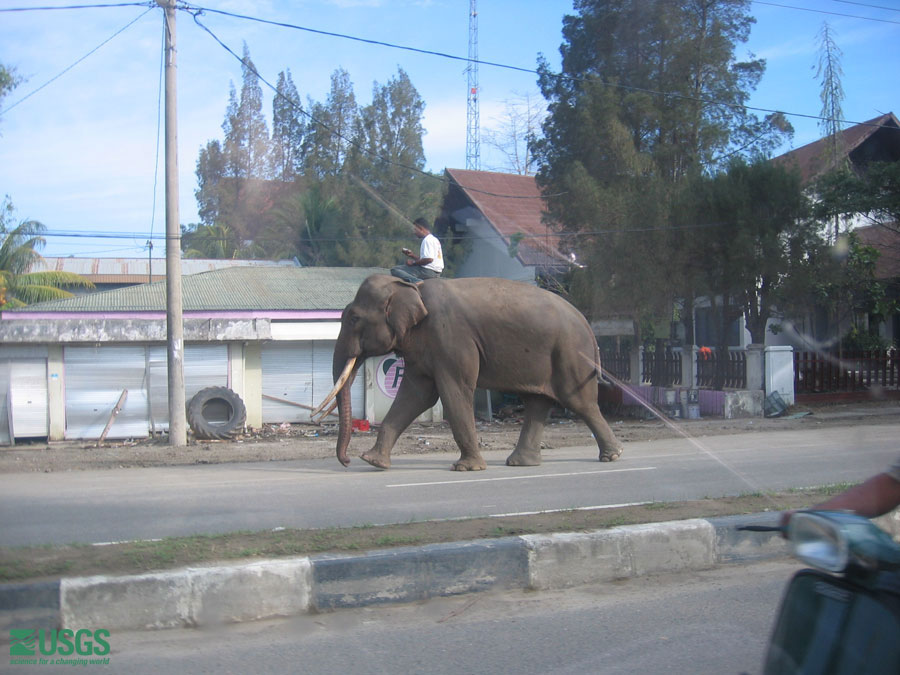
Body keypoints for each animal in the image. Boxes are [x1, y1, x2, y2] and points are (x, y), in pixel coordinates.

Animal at [318, 274, 624, 470]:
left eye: (354, 318)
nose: (346, 461)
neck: (412, 288)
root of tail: (587, 324)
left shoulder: (451, 337)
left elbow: (453, 393)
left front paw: (467, 468)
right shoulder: (423, 347)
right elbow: (415, 396)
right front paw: (373, 461)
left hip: (570, 352)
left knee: (579, 401)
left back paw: (612, 456)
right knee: (538, 402)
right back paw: (521, 463)